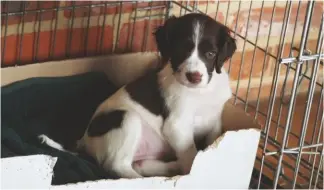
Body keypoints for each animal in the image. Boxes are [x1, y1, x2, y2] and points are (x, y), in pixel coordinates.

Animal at [38, 13, 235, 178]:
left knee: (140, 164)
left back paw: (170, 167)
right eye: (180, 51)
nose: (194, 77)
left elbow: (211, 144)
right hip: (127, 118)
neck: (202, 92)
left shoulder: (215, 121)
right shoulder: (177, 126)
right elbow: (191, 156)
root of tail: (85, 140)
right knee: (117, 165)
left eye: (210, 54)